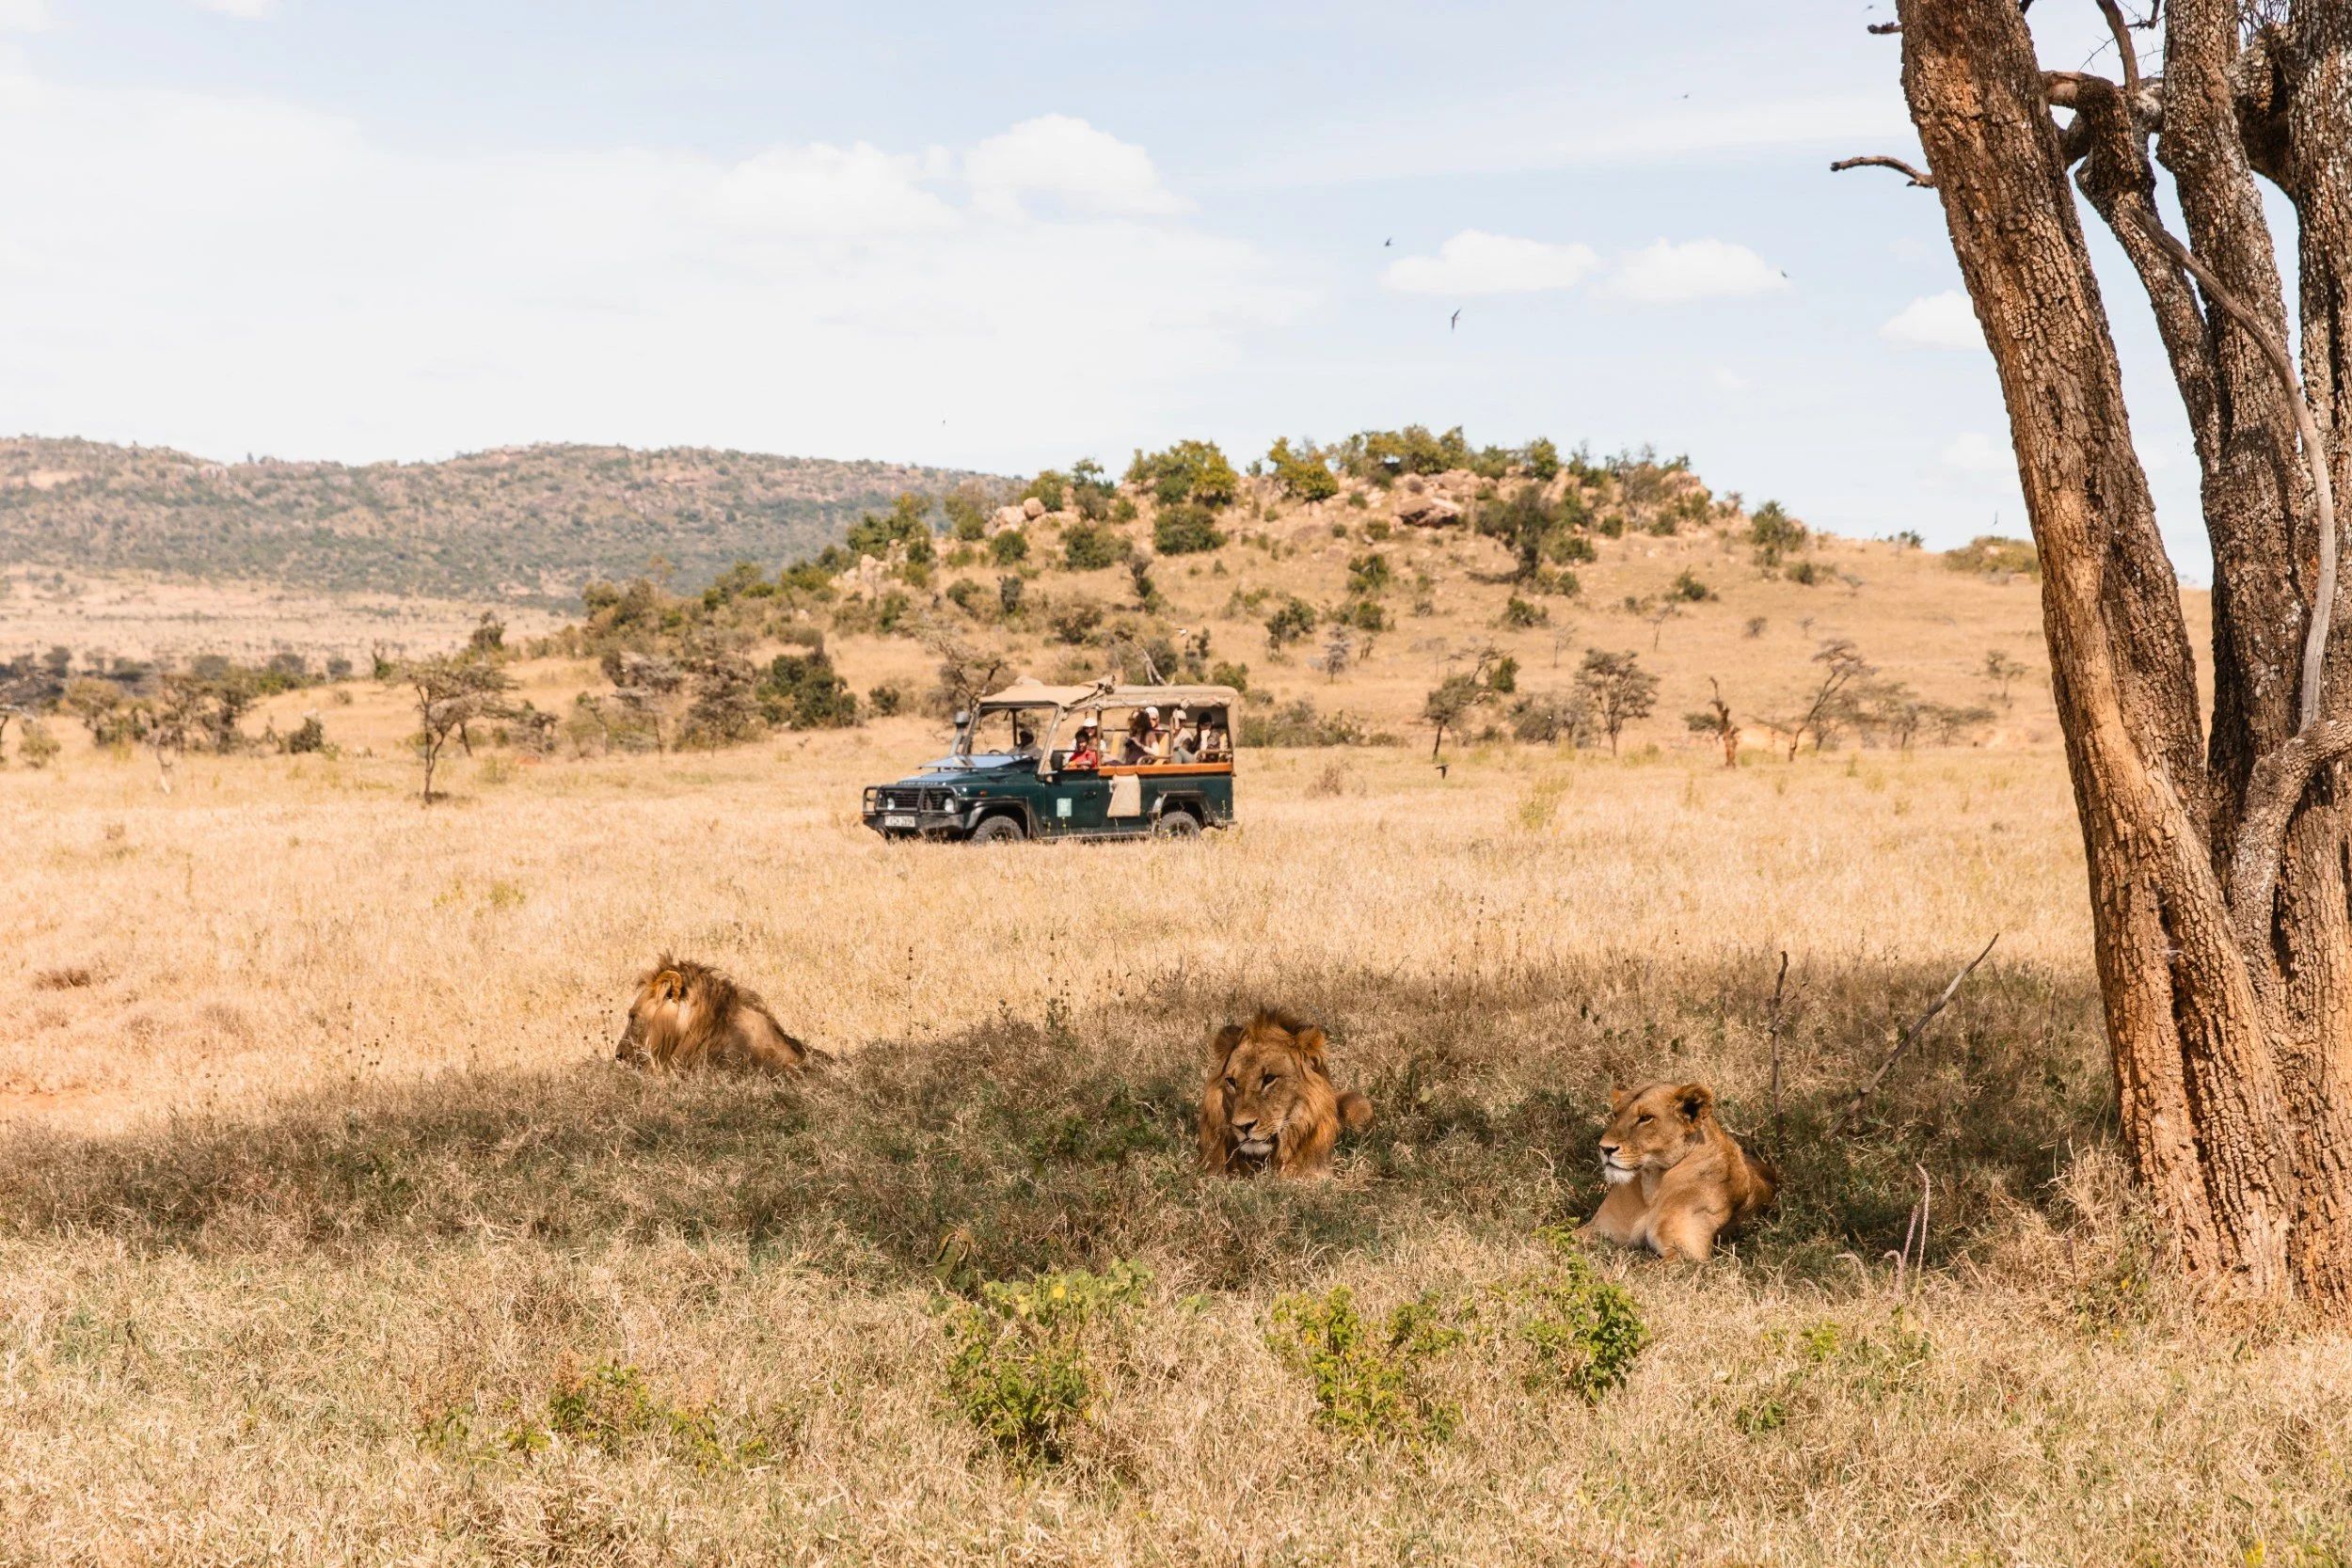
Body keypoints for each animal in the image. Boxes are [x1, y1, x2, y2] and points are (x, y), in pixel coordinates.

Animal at [1579, 1081, 1777, 1261]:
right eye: (1615, 1113)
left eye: (1646, 1118)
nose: (1605, 1148)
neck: (1651, 1184)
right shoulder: (1597, 1229)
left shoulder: (1688, 1254)